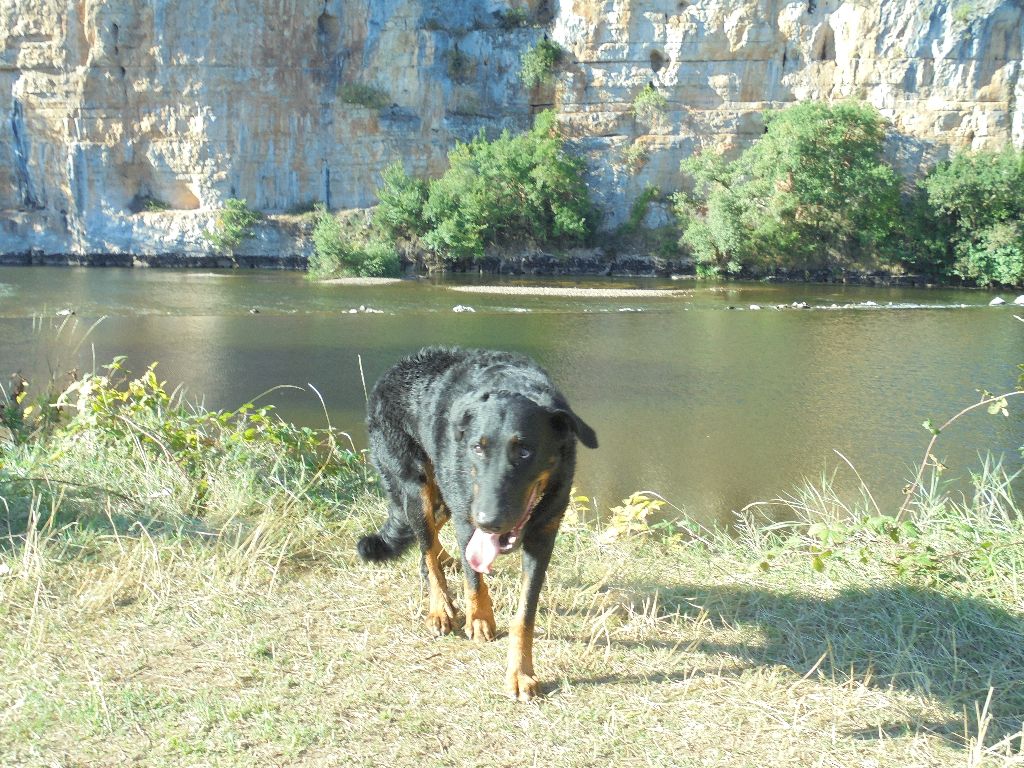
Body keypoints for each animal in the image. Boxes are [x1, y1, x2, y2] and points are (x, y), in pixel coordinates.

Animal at [360, 348, 598, 704]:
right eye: (477, 447)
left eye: (525, 451)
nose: (489, 520)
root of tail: (393, 369)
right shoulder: (466, 517)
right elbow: (474, 578)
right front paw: (480, 619)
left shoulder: (543, 536)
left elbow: (524, 616)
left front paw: (520, 673)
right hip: (417, 488)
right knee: (427, 545)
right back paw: (441, 607)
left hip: (441, 499)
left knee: (431, 538)